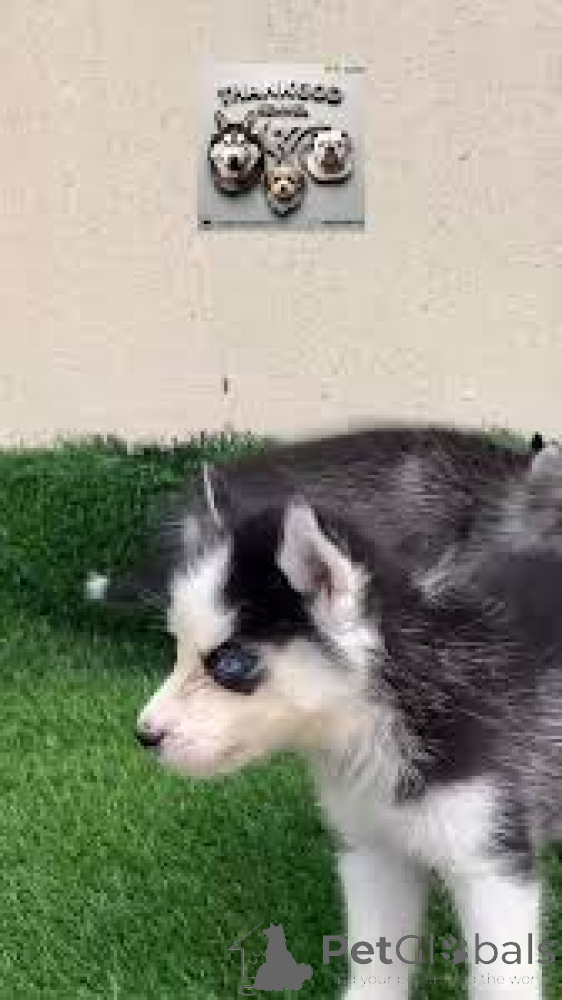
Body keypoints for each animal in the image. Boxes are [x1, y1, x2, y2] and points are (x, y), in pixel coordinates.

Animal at [86, 425, 562, 1000]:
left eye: (231, 662)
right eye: (176, 648)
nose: (144, 735)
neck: (385, 716)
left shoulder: (491, 862)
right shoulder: (372, 854)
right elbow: (375, 964)